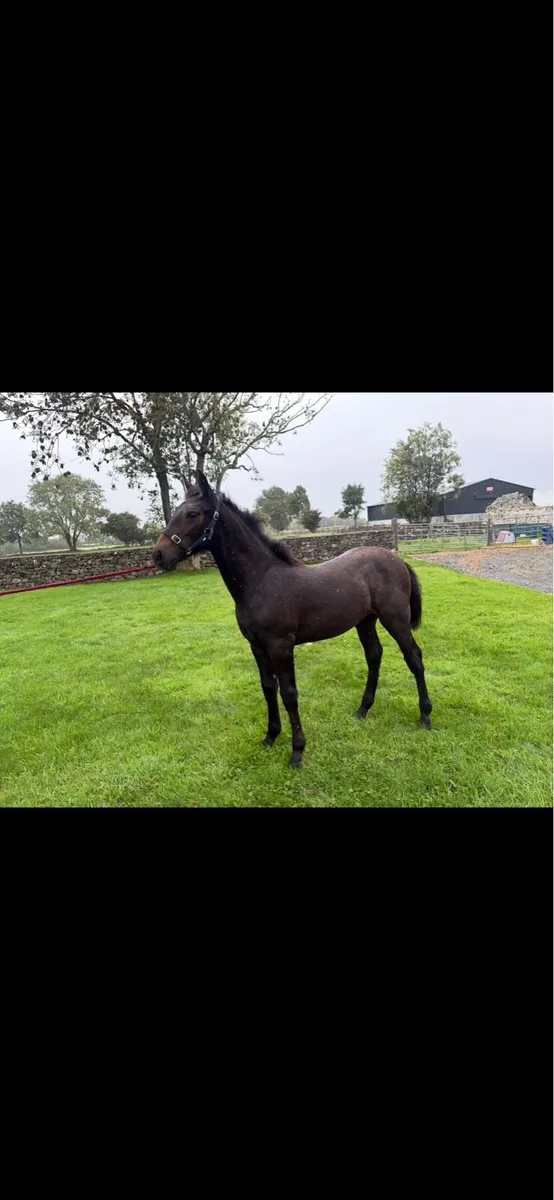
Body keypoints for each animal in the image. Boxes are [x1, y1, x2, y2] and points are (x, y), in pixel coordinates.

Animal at [152, 472, 433, 768]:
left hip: (396, 619)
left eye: (192, 513)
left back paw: (425, 717)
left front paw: (297, 752)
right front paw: (270, 737)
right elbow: (268, 688)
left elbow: (289, 694)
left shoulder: (281, 646)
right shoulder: (257, 647)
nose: (158, 555)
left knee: (414, 658)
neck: (261, 581)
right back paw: (362, 710)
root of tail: (397, 559)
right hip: (365, 621)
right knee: (374, 656)